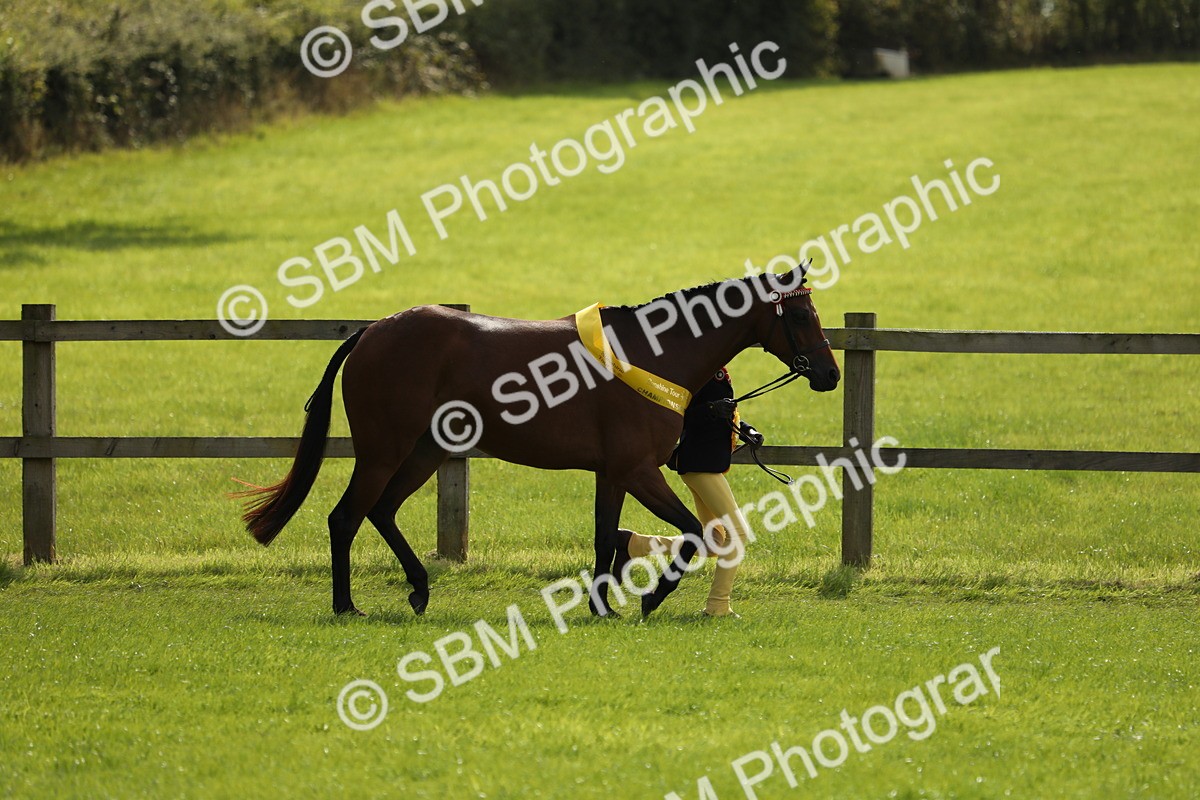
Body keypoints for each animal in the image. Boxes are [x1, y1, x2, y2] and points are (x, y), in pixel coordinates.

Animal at [239, 265, 839, 618]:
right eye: (800, 312)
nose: (830, 374)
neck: (652, 350)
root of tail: (373, 330)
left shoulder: (612, 474)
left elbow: (605, 538)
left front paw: (604, 608)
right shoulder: (639, 470)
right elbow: (692, 532)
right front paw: (649, 598)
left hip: (425, 452)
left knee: (382, 512)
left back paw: (419, 589)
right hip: (384, 451)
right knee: (346, 517)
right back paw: (347, 606)